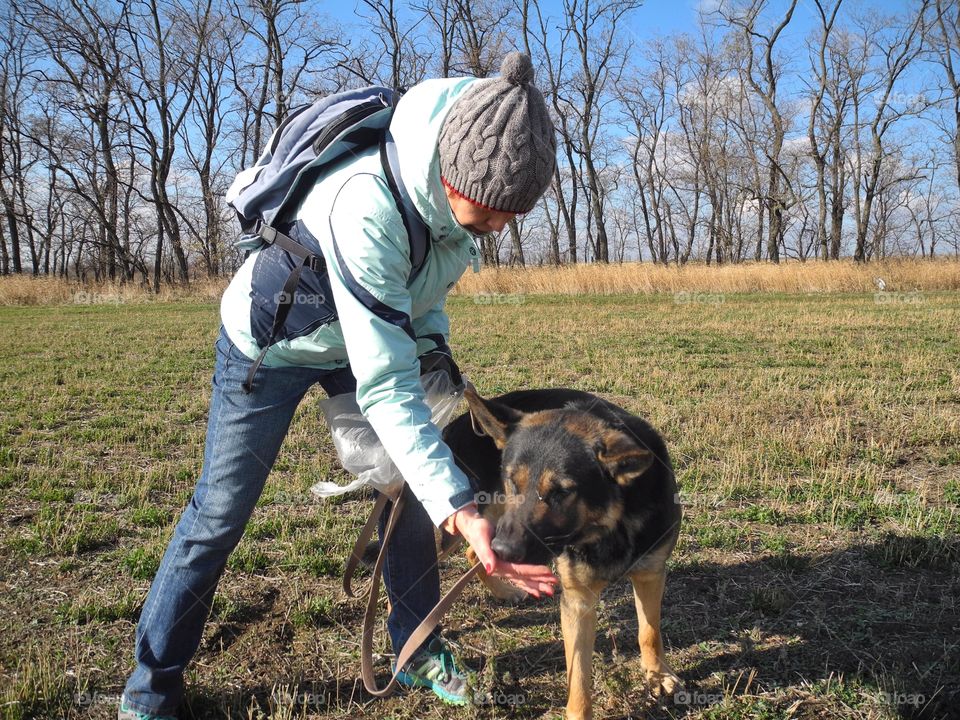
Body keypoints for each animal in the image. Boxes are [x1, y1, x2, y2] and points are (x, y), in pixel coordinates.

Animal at [444, 388, 684, 720]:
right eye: (512, 481)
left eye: (561, 492)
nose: (505, 550)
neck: (611, 523)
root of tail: (453, 426)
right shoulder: (578, 601)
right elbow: (579, 675)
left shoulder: (650, 574)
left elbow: (649, 631)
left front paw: (657, 674)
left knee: (473, 552)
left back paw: (503, 590)